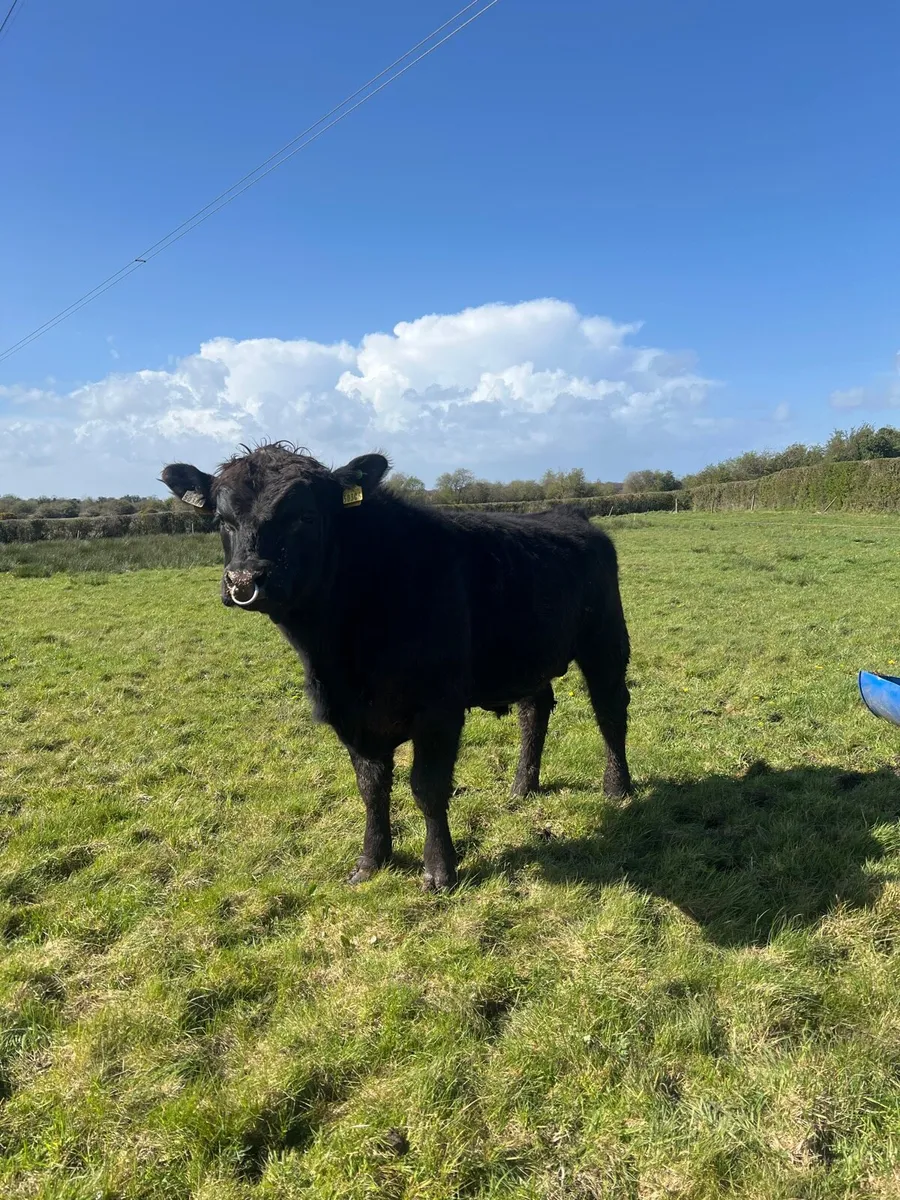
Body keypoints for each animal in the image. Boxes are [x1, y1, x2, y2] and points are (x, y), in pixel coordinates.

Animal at [161, 443, 632, 891]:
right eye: (221, 519)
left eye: (305, 517)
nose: (244, 581)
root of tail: (569, 514)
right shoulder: (348, 715)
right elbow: (371, 788)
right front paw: (372, 861)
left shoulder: (439, 709)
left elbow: (427, 787)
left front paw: (439, 870)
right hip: (528, 658)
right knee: (535, 711)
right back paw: (522, 787)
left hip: (606, 640)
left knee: (611, 711)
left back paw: (617, 787)